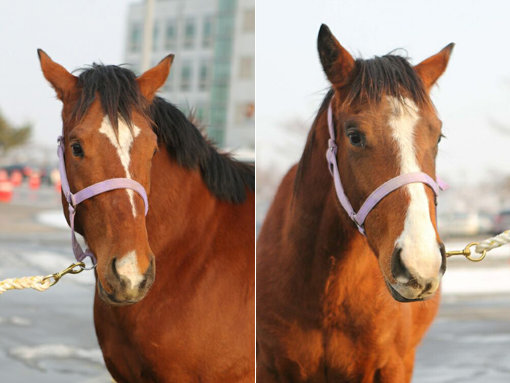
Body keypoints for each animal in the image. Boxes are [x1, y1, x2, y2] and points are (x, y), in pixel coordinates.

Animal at [258, 25, 454, 382]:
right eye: (354, 136)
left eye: (439, 136)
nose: (420, 263)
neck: (328, 295)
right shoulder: (268, 366)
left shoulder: (392, 366)